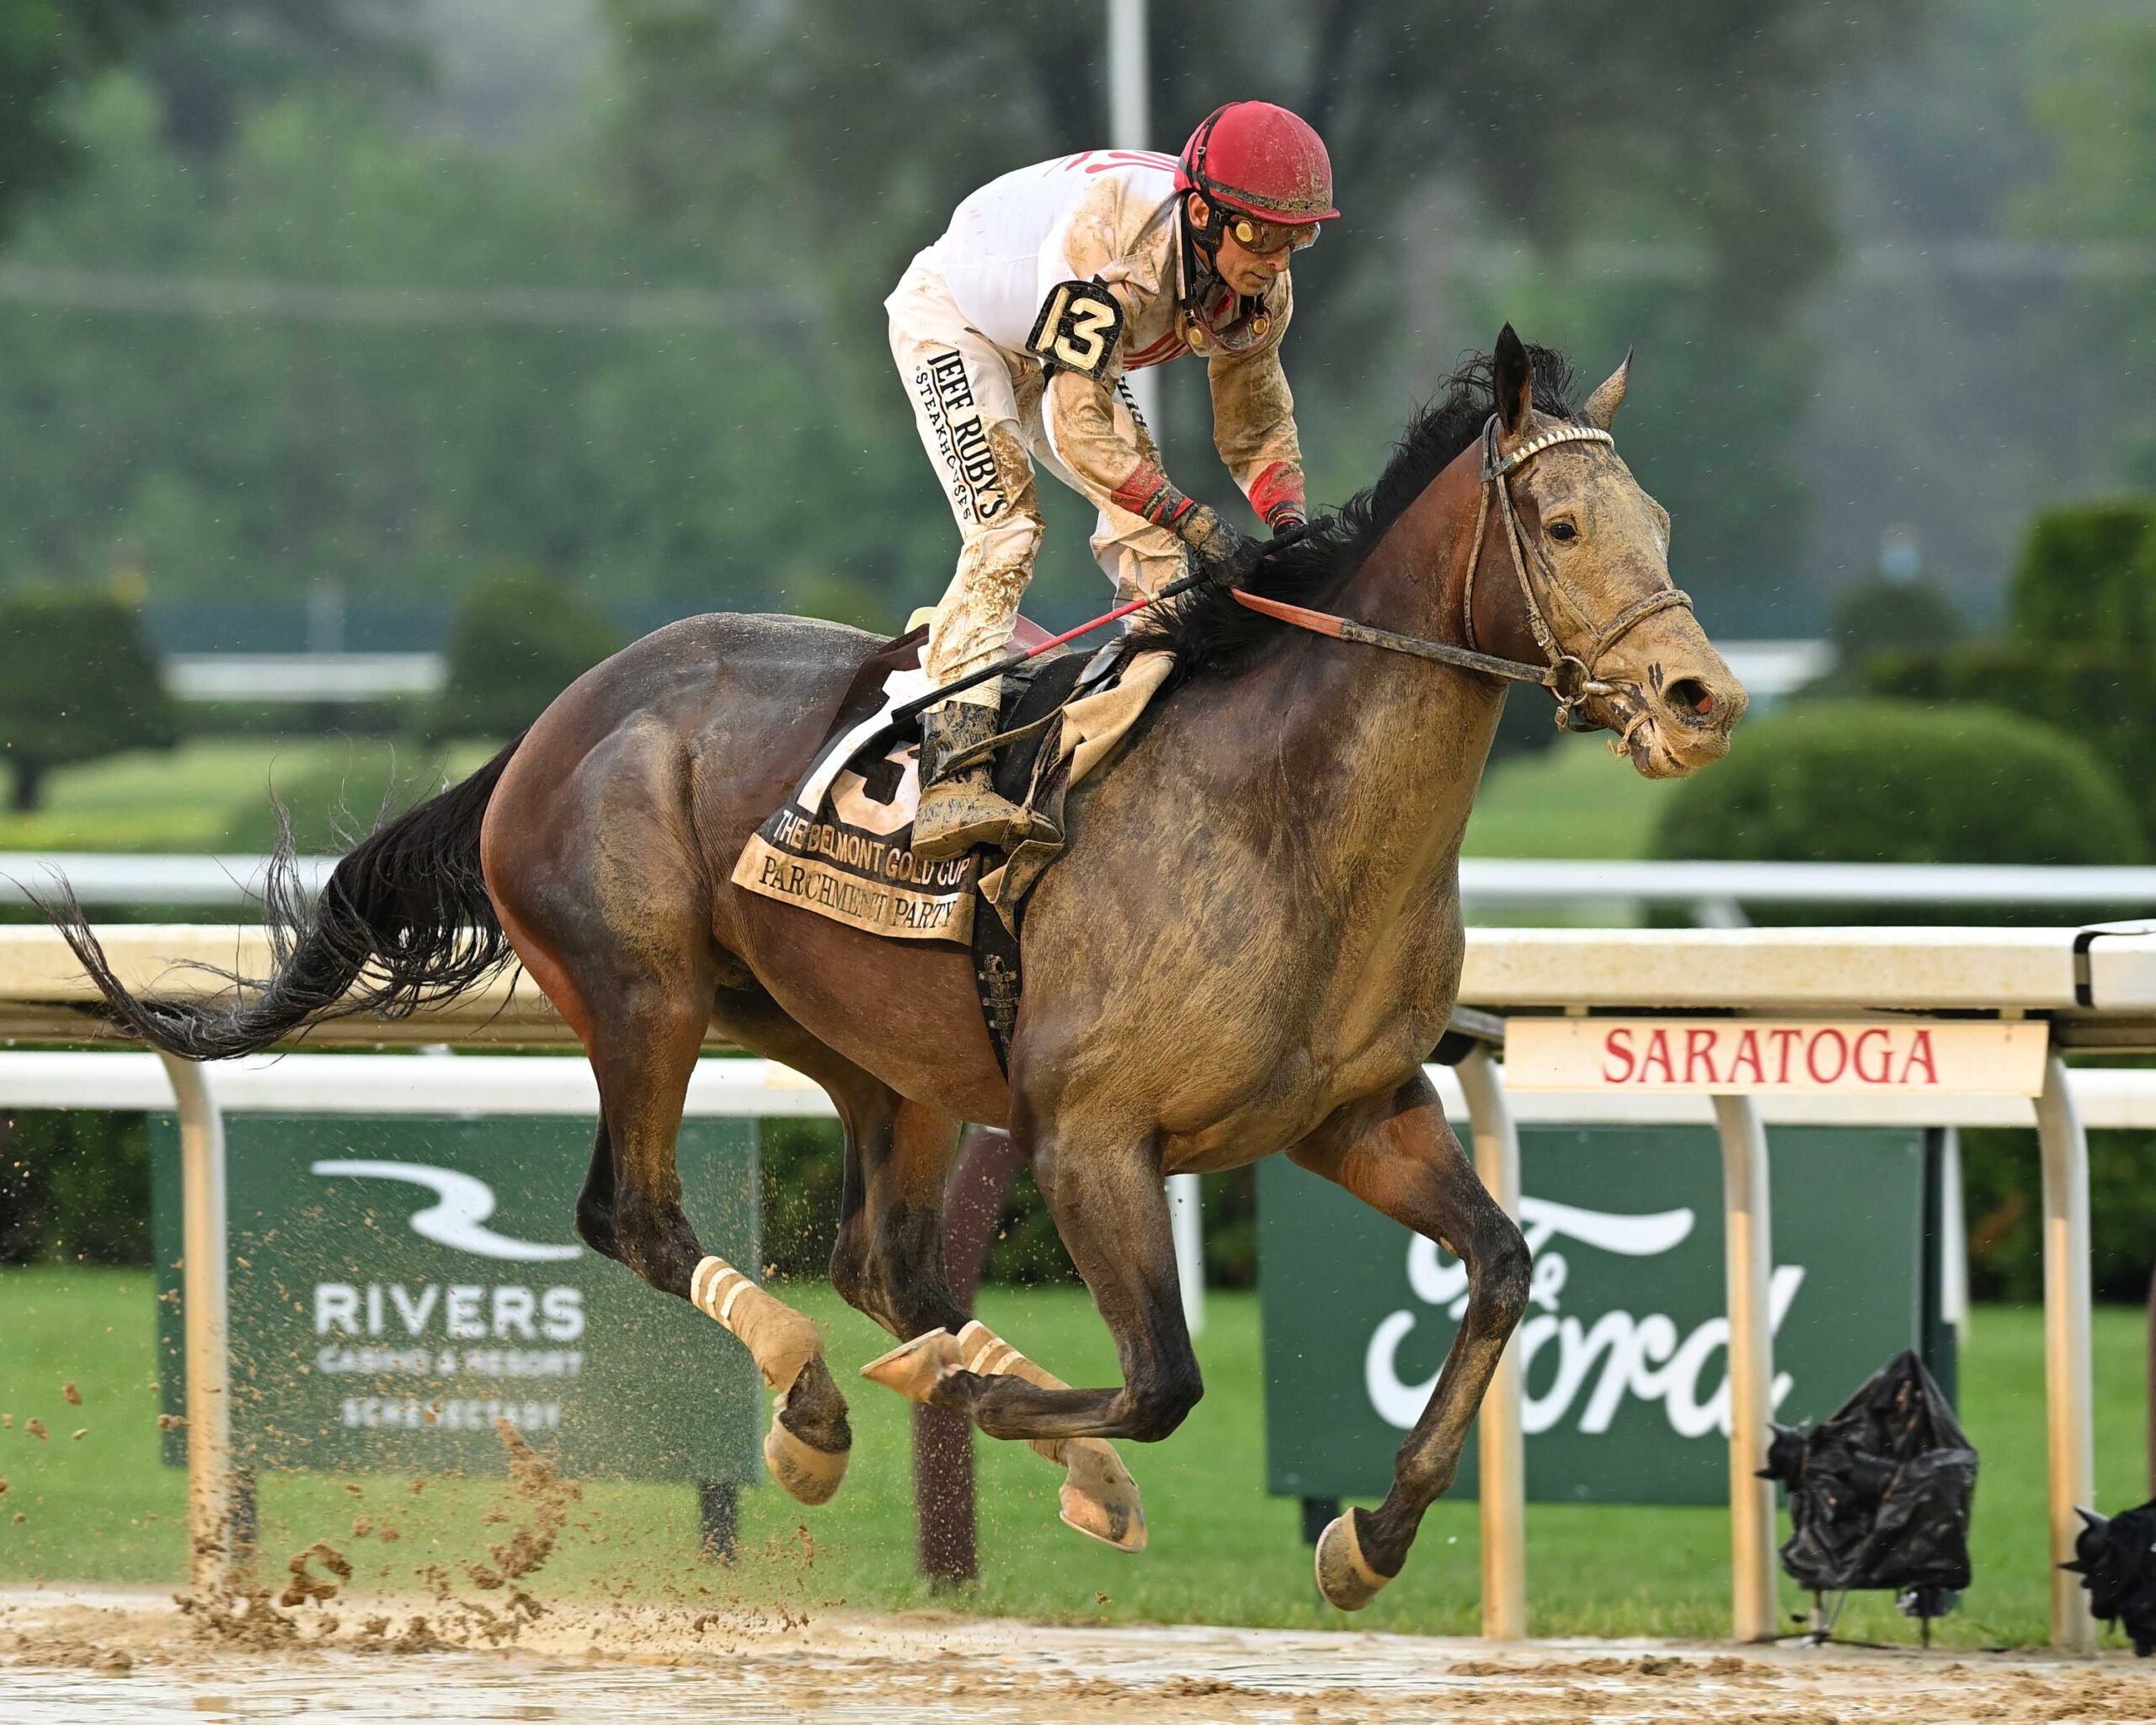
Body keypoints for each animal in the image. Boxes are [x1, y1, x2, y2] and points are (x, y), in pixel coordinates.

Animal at [55, 325, 1745, 1609]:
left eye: (1667, 523)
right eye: (1567, 527)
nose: (1702, 696)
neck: (1287, 812)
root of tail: (550, 721)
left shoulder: (1355, 1114)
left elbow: (1504, 1266)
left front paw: (1368, 1539)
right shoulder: (1092, 1137)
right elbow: (1167, 1376)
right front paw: (987, 1402)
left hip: (879, 1055)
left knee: (885, 1259)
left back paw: (986, 1420)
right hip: (648, 994)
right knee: (639, 1215)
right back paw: (813, 1405)